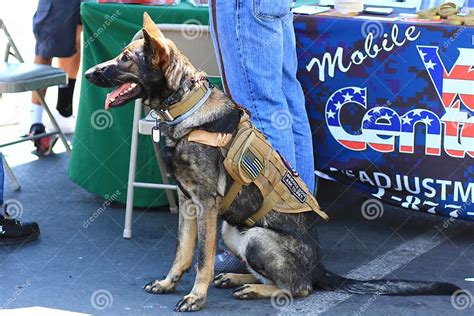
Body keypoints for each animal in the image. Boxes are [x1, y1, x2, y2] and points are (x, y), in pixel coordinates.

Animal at [85, 12, 460, 314]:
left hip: (257, 238)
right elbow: (183, 251)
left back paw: (253, 288)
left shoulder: (205, 204)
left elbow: (202, 258)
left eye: (125, 59)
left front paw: (196, 297)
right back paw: (237, 279)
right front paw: (168, 283)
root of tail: (320, 266)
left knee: (300, 287)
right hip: (232, 229)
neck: (186, 108)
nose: (89, 73)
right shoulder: (189, 202)